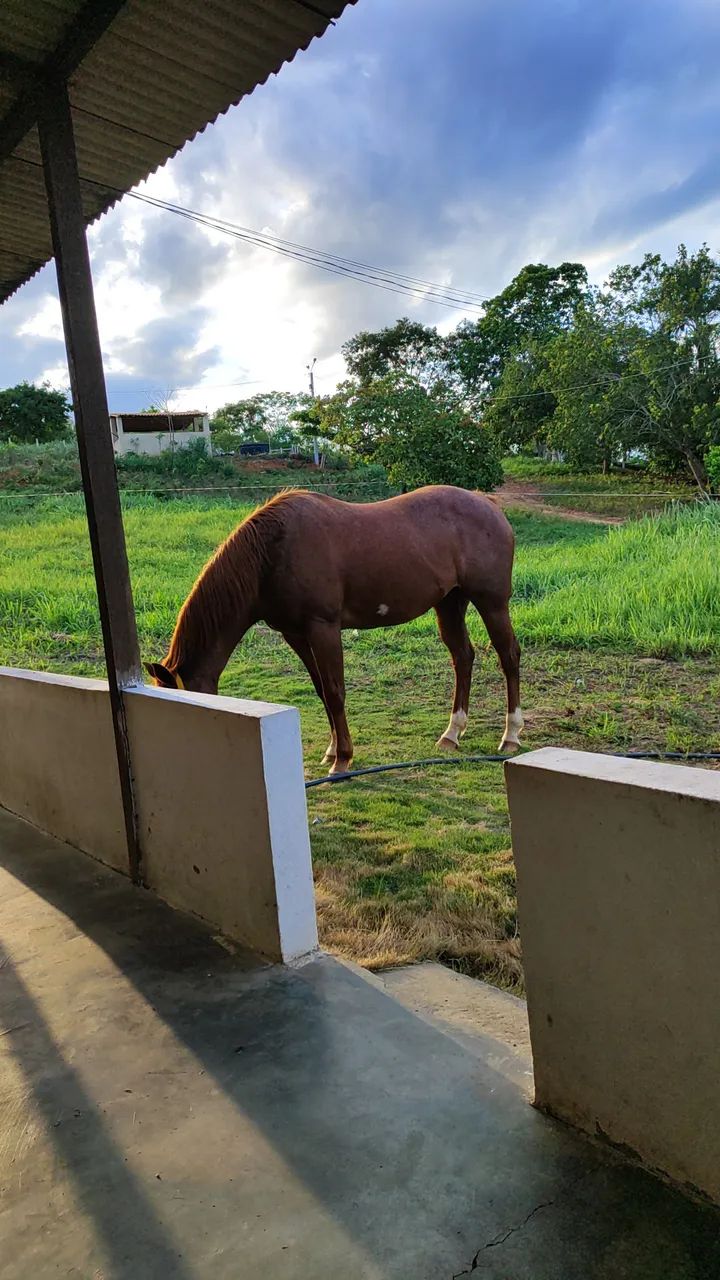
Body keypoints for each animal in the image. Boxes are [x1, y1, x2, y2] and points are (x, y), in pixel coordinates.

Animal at [146, 485, 524, 774]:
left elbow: (334, 690)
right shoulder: (295, 634)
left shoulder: (323, 628)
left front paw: (342, 759)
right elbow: (320, 691)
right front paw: (331, 751)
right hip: (449, 603)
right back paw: (452, 733)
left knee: (508, 656)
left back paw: (511, 735)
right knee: (463, 657)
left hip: (491, 603)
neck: (273, 551)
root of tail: (488, 504)